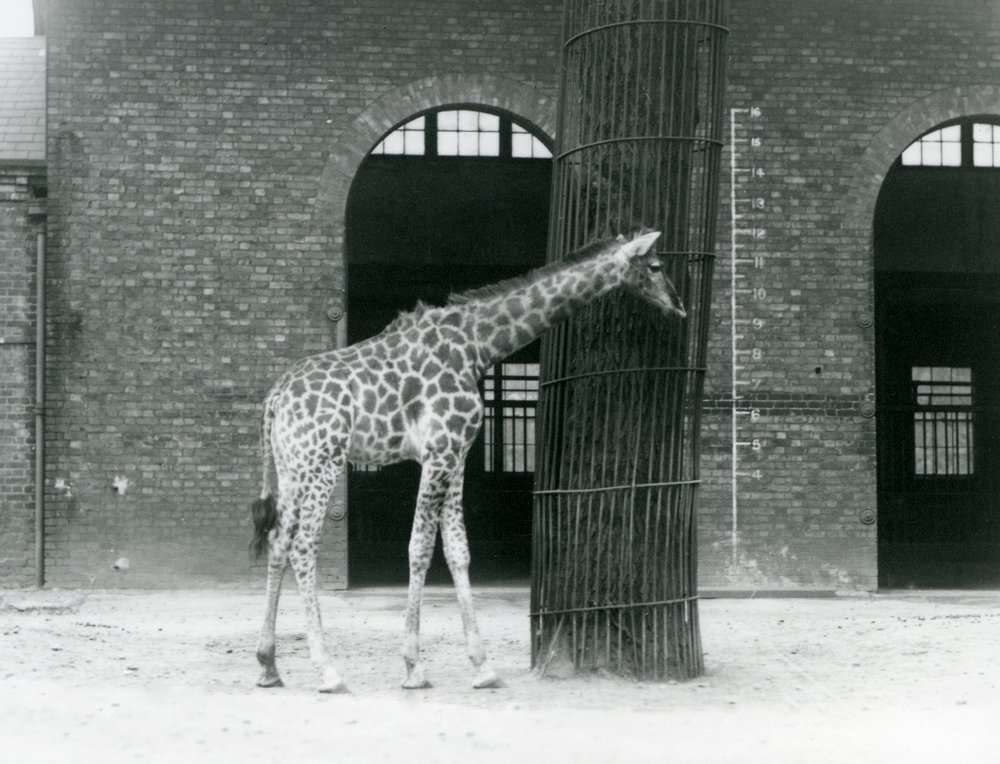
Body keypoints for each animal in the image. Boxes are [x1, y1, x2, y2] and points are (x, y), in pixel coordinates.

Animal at [249, 230, 685, 692]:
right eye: (656, 266)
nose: (679, 305)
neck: (477, 344)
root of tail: (274, 398)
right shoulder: (440, 450)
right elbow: (420, 546)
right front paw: (413, 666)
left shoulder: (457, 454)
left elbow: (458, 549)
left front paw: (483, 666)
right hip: (323, 462)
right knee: (303, 545)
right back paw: (328, 670)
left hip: (292, 468)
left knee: (279, 542)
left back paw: (268, 665)